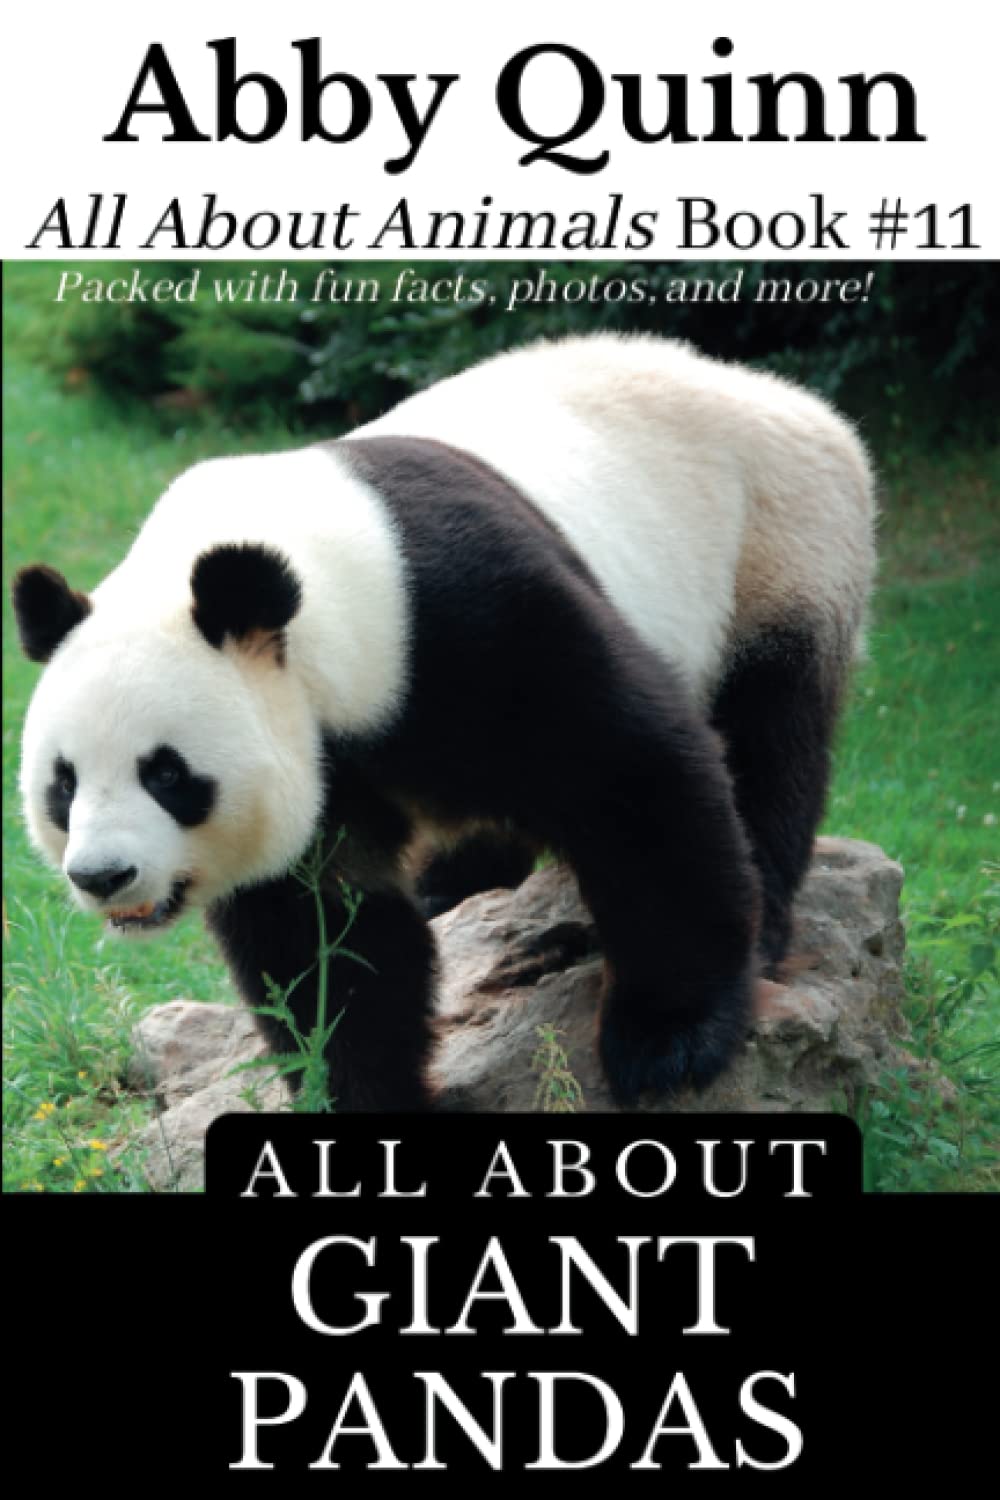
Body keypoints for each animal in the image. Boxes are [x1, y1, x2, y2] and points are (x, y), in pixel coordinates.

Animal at [13, 334, 875, 1112]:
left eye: (167, 773)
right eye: (64, 785)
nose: (102, 875)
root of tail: (780, 394)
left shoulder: (465, 617)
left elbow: (633, 775)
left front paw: (667, 1044)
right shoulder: (328, 767)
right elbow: (327, 937)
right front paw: (362, 1093)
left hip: (778, 548)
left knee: (766, 739)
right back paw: (453, 888)